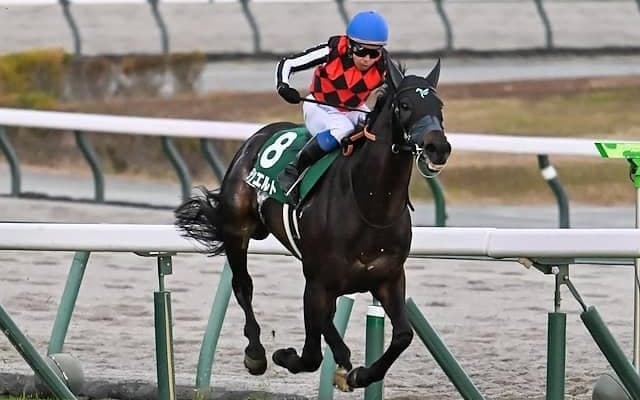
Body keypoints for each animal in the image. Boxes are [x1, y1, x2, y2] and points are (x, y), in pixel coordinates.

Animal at [174, 58, 451, 391]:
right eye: (406, 105)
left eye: (439, 105)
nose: (438, 146)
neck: (370, 206)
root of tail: (257, 137)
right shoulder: (318, 282)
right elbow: (316, 351)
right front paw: (290, 357)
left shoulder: (389, 278)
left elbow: (403, 335)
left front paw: (360, 373)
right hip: (236, 231)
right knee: (243, 285)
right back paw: (256, 353)